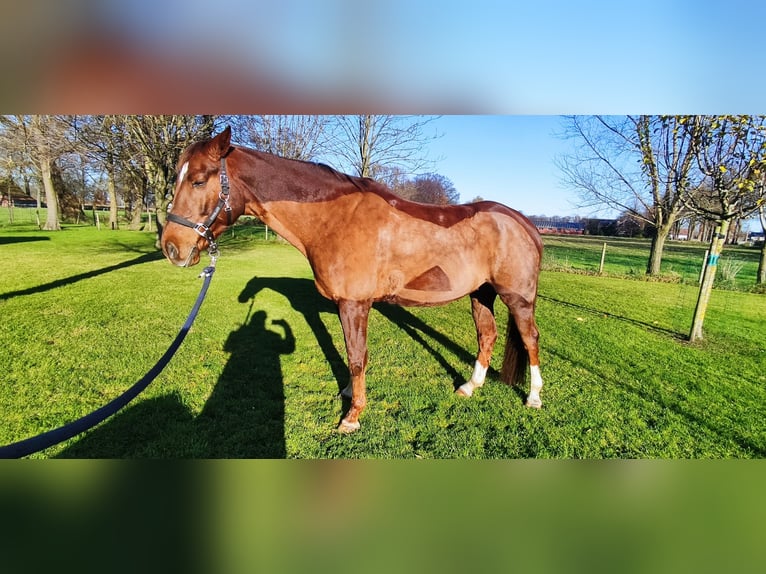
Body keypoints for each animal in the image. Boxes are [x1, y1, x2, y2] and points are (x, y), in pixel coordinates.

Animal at [162, 126, 544, 432]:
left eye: (198, 180)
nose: (170, 247)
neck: (335, 219)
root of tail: (523, 222)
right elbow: (350, 355)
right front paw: (348, 392)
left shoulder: (355, 305)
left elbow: (357, 356)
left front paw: (352, 415)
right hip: (481, 293)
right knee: (487, 335)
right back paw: (469, 386)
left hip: (517, 299)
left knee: (530, 339)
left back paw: (534, 397)